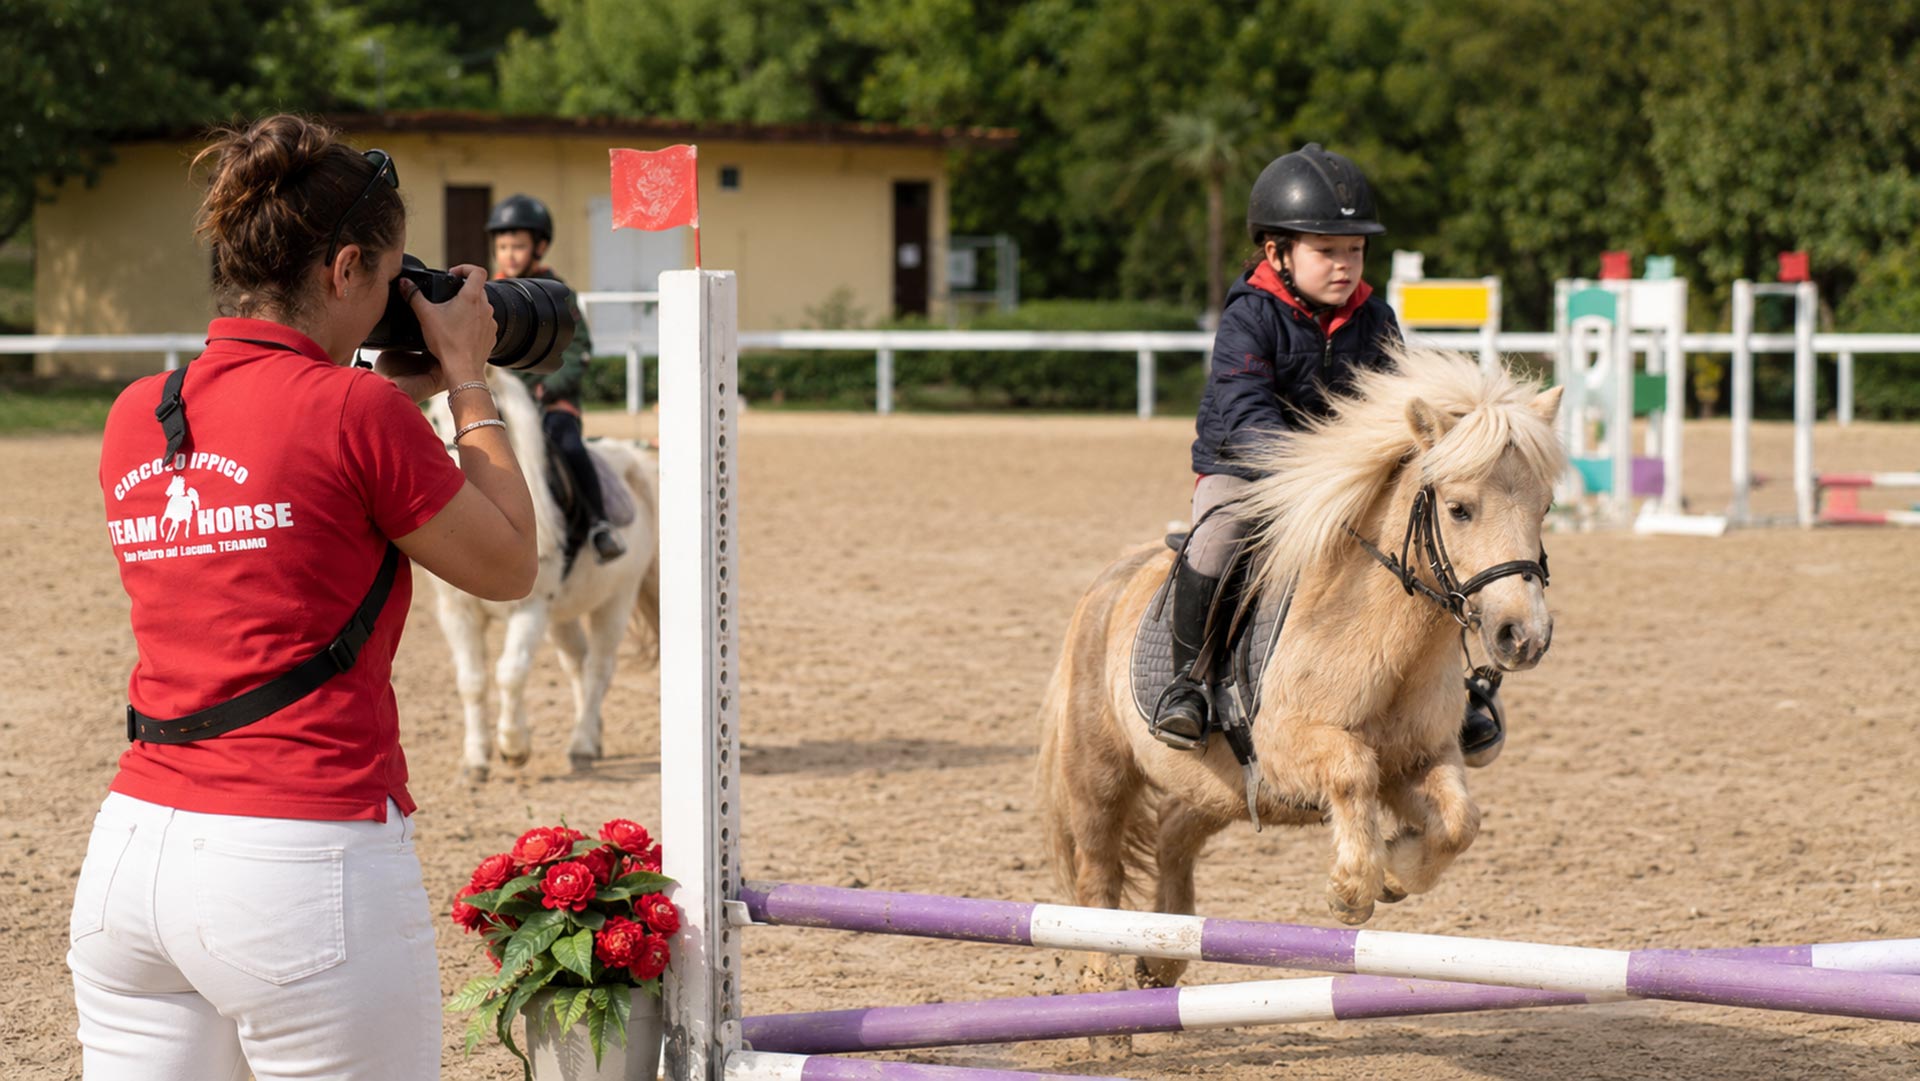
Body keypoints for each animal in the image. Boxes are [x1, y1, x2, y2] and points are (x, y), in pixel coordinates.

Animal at [423, 371, 661, 780]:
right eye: (434, 418)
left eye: (494, 415)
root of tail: (634, 462)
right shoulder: (459, 612)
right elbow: (472, 682)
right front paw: (475, 760)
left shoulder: (531, 609)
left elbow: (511, 672)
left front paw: (514, 748)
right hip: (562, 616)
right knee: (578, 663)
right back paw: (592, 736)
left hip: (616, 601)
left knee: (600, 667)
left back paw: (582, 744)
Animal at [1035, 344, 1564, 1001]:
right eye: (1459, 509)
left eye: (1546, 507)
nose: (1524, 636)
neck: (1388, 643)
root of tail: (1111, 580)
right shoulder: (1287, 746)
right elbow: (1351, 769)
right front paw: (1352, 889)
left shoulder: (1421, 758)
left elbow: (1459, 823)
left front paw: (1395, 871)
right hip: (1099, 776)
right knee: (1097, 876)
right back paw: (1102, 992)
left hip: (1216, 792)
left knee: (1173, 833)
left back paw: (1162, 958)